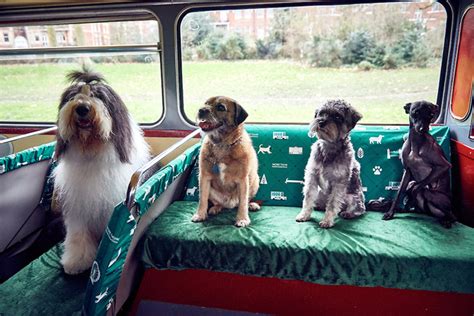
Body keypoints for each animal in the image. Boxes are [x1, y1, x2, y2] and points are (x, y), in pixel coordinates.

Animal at [192, 96, 262, 227]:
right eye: (206, 103)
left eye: (221, 107)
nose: (201, 110)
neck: (222, 144)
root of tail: (230, 204)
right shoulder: (204, 178)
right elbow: (202, 199)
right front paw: (200, 214)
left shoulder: (243, 180)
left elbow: (243, 202)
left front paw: (242, 218)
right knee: (218, 203)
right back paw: (216, 208)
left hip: (255, 182)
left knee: (245, 201)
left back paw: (252, 205)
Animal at [296, 99, 366, 227]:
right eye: (321, 113)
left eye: (337, 116)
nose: (321, 122)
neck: (329, 146)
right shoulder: (312, 176)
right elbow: (308, 198)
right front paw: (304, 215)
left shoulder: (339, 182)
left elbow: (333, 203)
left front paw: (327, 221)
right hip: (320, 193)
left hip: (353, 197)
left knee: (359, 209)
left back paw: (348, 213)